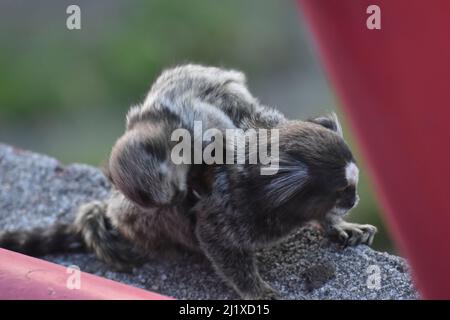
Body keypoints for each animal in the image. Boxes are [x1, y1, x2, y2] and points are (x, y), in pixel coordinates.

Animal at [0, 64, 376, 300]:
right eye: (343, 190)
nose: (354, 200)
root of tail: (116, 212)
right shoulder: (227, 213)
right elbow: (217, 243)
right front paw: (255, 290)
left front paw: (338, 226)